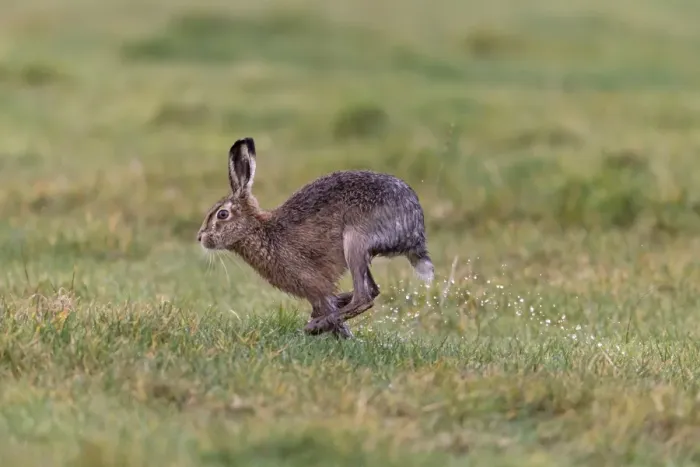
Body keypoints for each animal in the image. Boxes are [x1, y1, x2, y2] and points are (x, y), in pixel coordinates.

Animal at [196, 137, 435, 338]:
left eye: (222, 214)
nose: (201, 238)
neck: (259, 229)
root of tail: (414, 229)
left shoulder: (314, 284)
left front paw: (342, 335)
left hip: (355, 242)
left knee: (364, 297)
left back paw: (315, 326)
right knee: (372, 290)